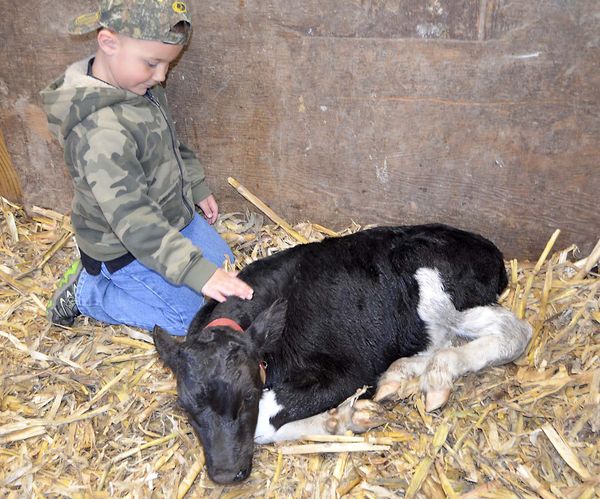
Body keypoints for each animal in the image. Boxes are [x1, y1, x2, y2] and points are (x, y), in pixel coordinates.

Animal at [154, 226, 528, 484]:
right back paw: (401, 375)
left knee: (514, 332)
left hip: (440, 290)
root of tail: (492, 252)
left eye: (247, 396)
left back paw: (438, 375)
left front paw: (344, 415)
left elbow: (265, 418)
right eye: (185, 406)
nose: (225, 474)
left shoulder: (350, 370)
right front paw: (342, 418)